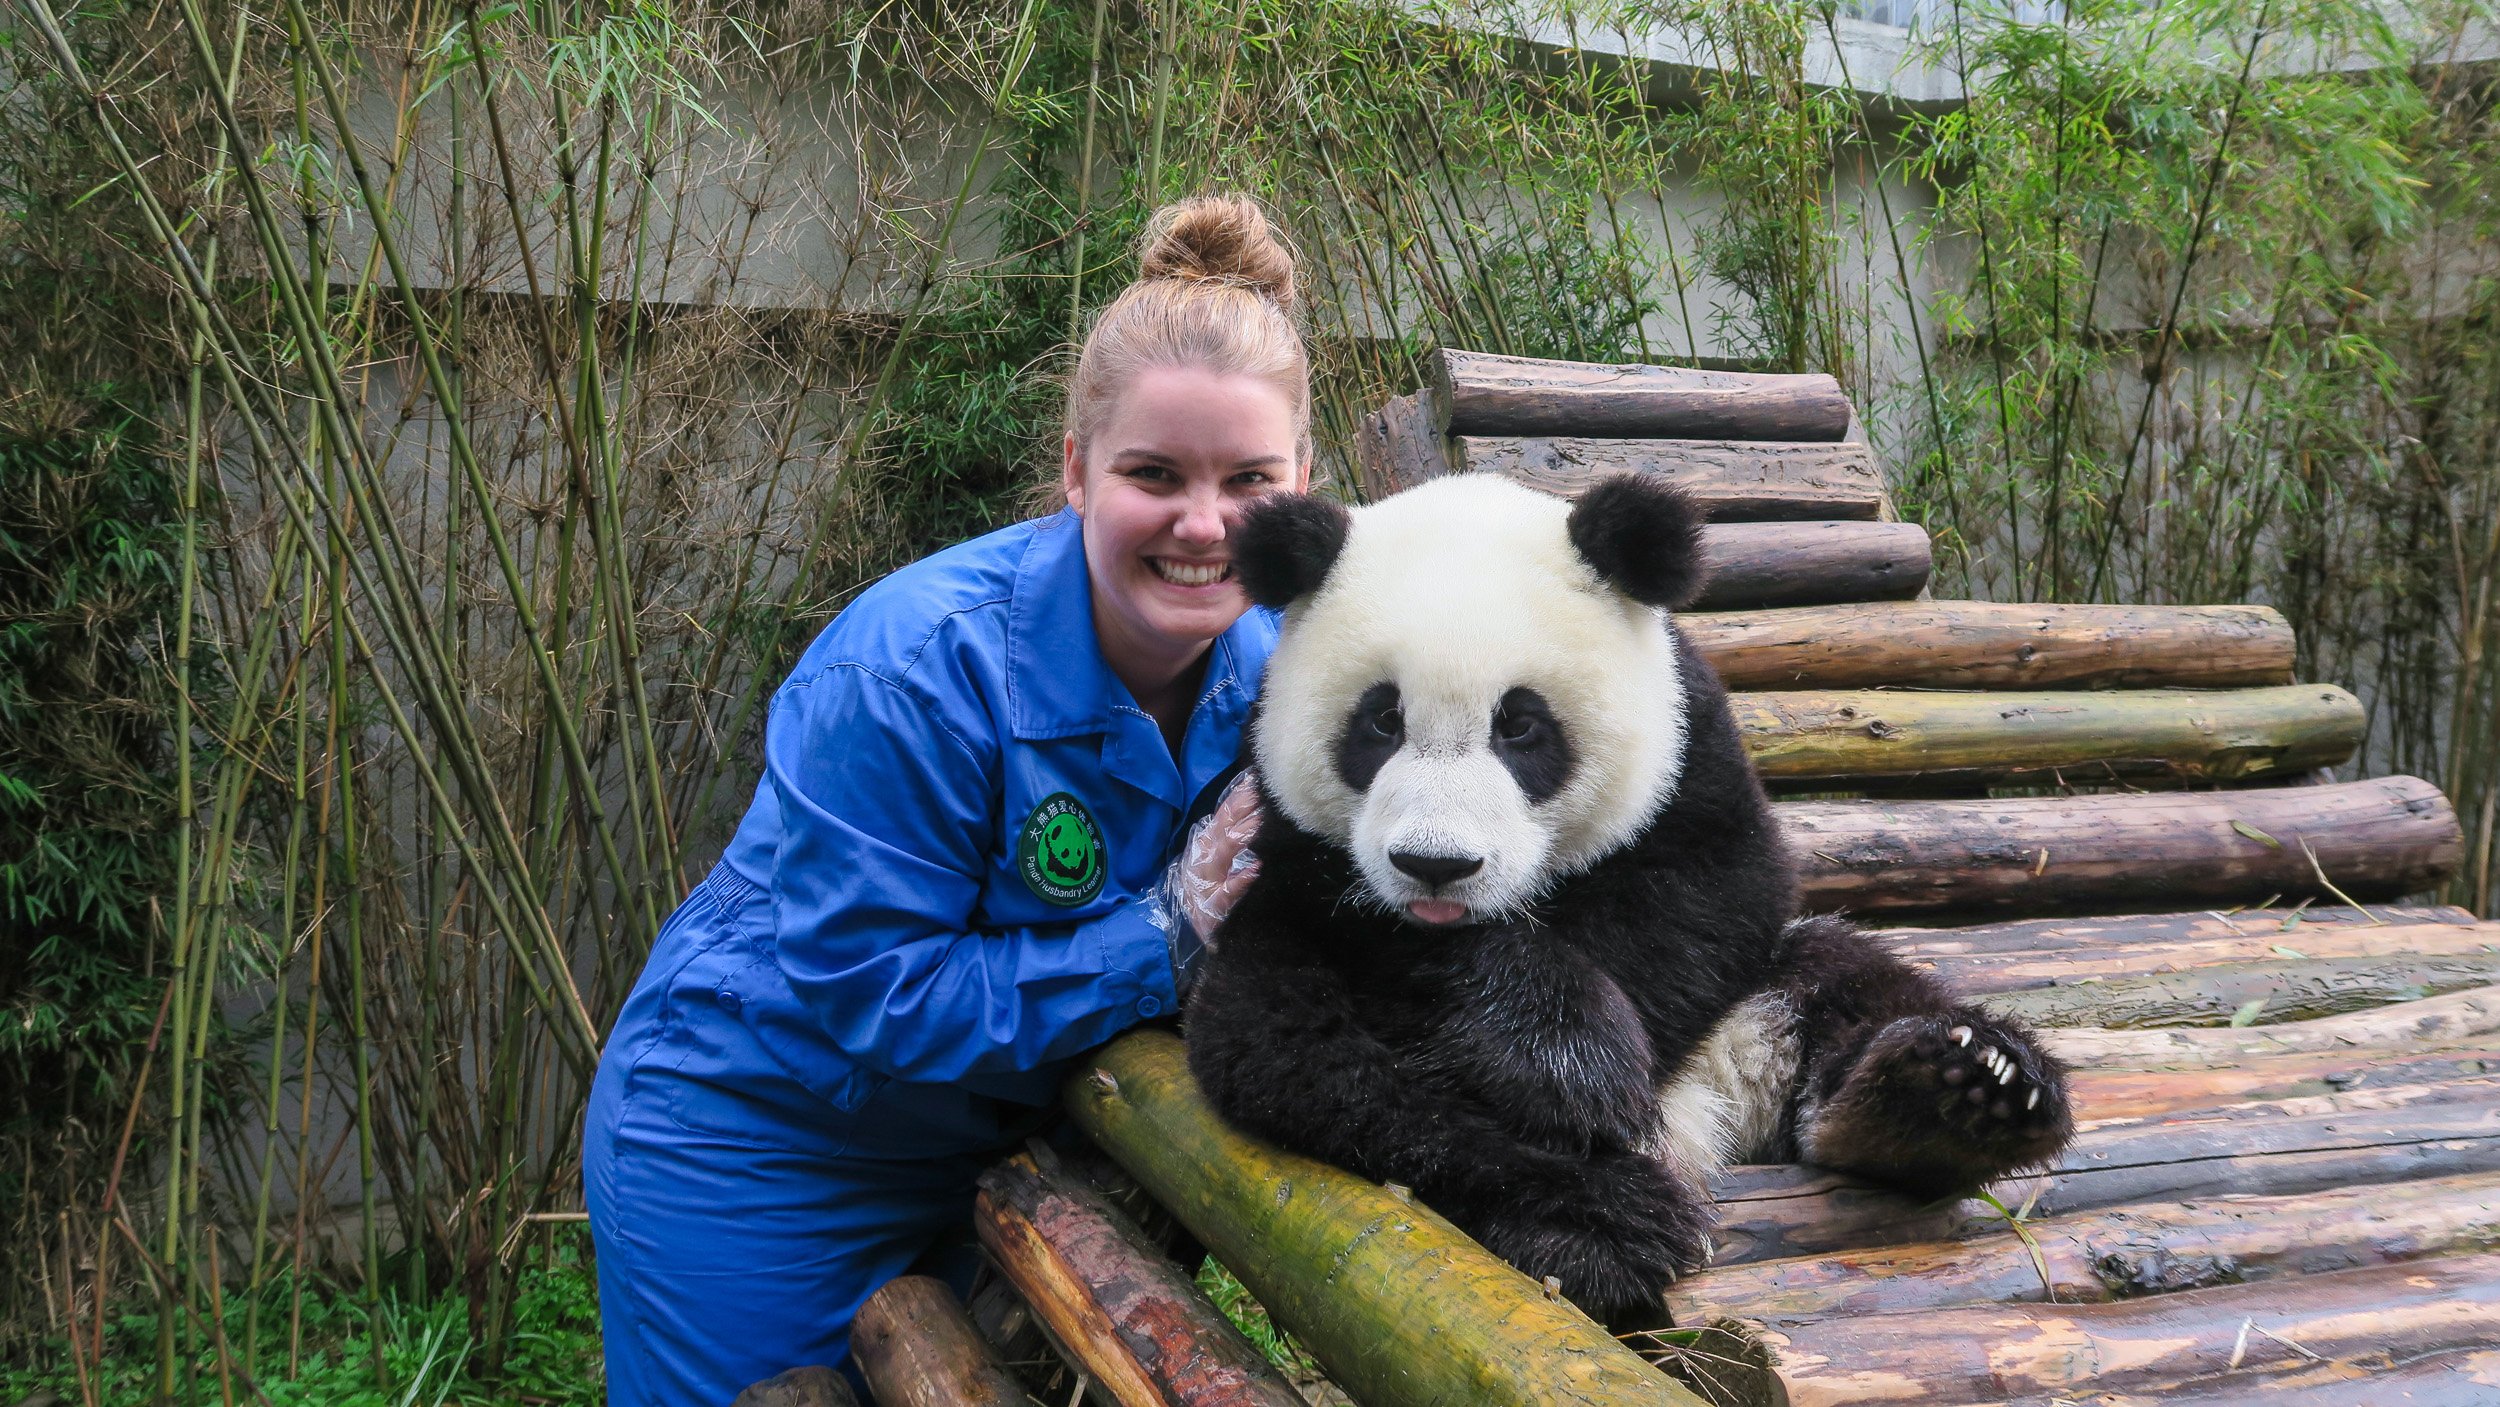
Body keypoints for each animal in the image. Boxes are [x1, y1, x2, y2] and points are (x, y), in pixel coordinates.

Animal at [1180, 477, 2080, 1329]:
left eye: (1520, 725)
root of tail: (1700, 1128)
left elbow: (1704, 899)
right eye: (1381, 720)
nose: (1435, 864)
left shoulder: (1691, 755)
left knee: (1842, 980)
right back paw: (1599, 1222)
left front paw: (1569, 1060)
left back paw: (1955, 1094)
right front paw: (1561, 1065)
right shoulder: (1298, 856)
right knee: (1327, 1074)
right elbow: (1368, 947)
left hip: (1751, 1009)